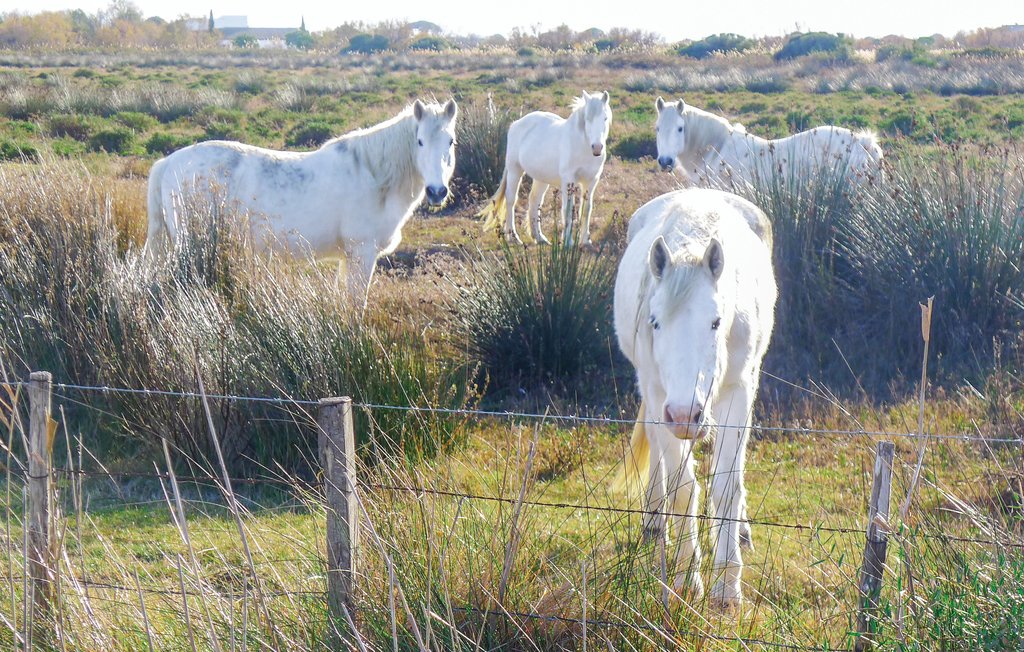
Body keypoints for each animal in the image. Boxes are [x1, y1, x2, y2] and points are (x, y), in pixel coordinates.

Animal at [145, 97, 460, 300]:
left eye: (450, 141)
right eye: (419, 141)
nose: (436, 191)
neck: (373, 174)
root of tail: (169, 162)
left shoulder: (348, 258)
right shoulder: (362, 253)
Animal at [477, 94, 610, 248]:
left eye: (605, 118)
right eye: (587, 118)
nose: (597, 148)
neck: (582, 145)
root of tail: (516, 124)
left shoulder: (591, 181)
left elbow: (586, 209)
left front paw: (586, 241)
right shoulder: (568, 181)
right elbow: (568, 209)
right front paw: (568, 242)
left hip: (540, 178)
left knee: (535, 201)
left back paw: (539, 237)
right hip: (515, 170)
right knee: (511, 199)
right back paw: (513, 236)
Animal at [610, 188, 778, 610]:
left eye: (716, 322)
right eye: (655, 322)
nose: (686, 414)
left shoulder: (737, 393)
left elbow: (726, 485)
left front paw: (727, 587)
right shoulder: (660, 399)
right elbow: (683, 488)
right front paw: (687, 579)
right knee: (658, 454)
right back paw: (654, 520)